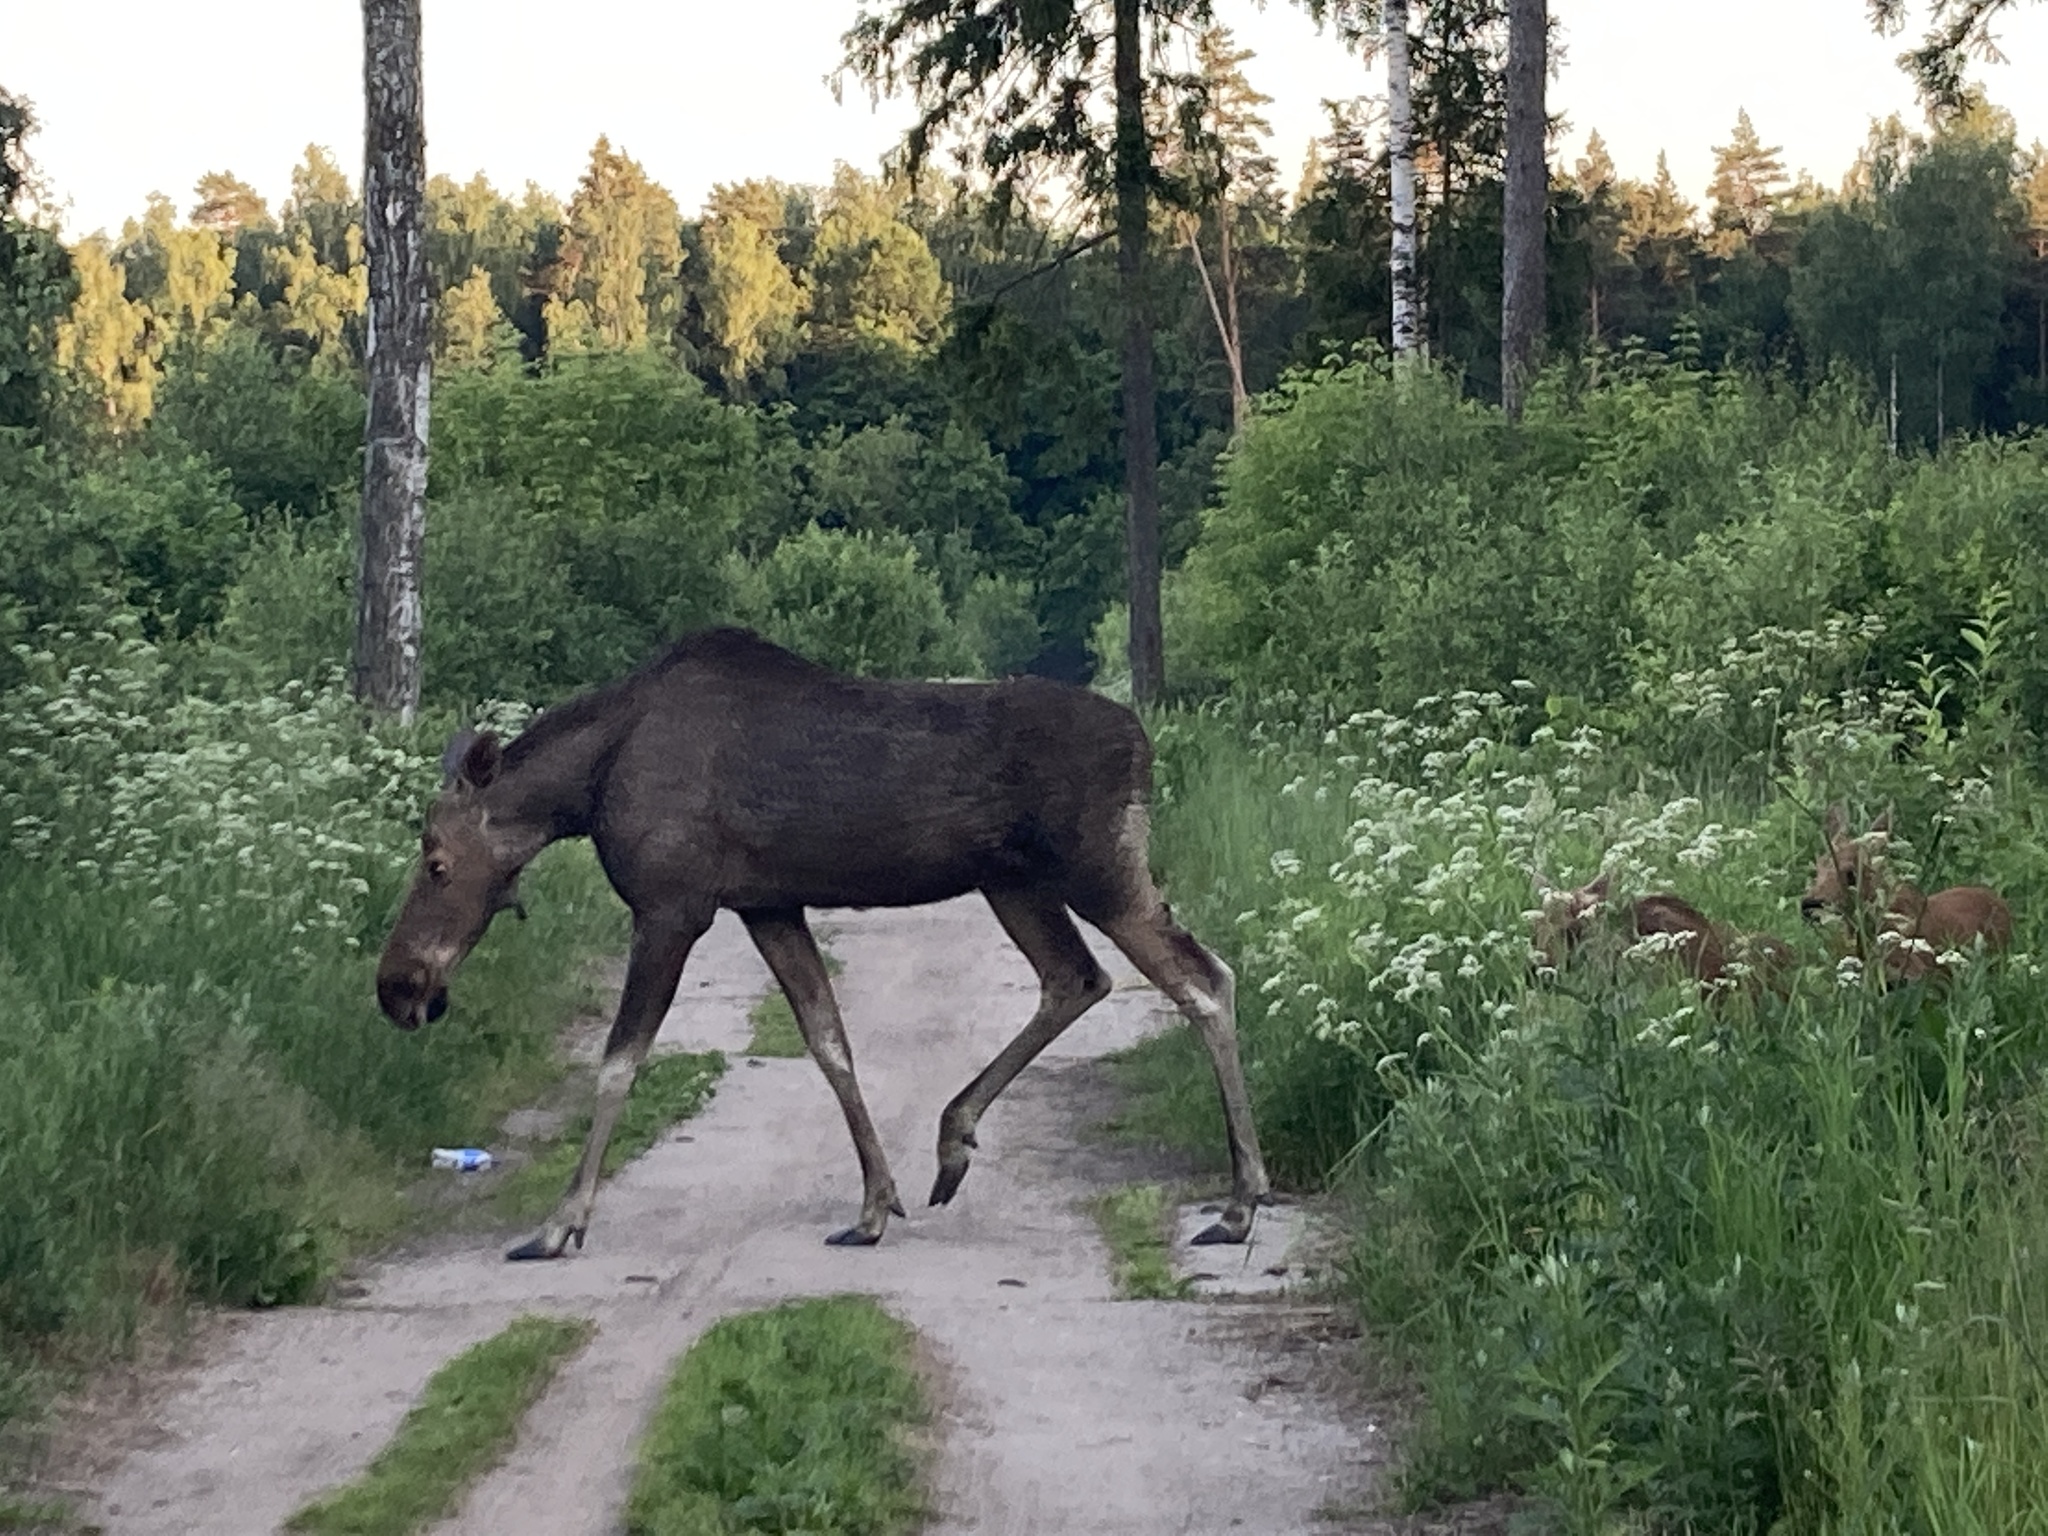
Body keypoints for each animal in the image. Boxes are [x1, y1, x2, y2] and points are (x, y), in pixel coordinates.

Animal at [372, 626, 1261, 1261]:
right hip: (1014, 883)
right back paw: (954, 1141)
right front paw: (873, 1205)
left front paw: (561, 1224)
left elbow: (620, 1060)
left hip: (1095, 869)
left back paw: (1240, 1204)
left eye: (437, 861)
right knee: (1077, 978)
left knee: (1202, 977)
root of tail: (1143, 743)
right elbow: (829, 1040)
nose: (398, 985)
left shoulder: (671, 907)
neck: (585, 790)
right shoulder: (769, 906)